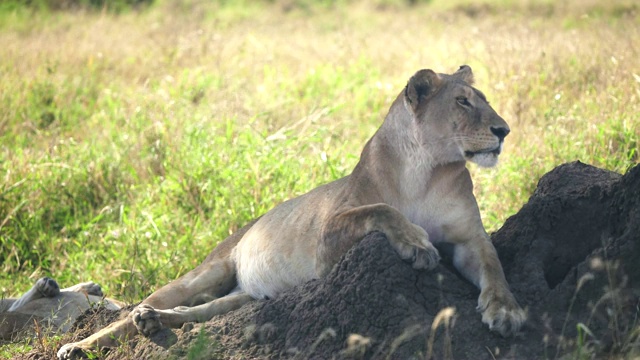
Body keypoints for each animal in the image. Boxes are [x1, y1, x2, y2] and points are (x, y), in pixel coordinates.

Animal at [56, 66, 524, 358]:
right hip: (207, 271)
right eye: (463, 102)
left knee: (200, 314)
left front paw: (505, 311)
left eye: (483, 100)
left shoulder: (468, 238)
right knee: (131, 316)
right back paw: (82, 344)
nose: (504, 130)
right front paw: (415, 245)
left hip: (245, 296)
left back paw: (154, 323)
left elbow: (494, 265)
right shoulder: (327, 243)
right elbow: (381, 210)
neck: (427, 170)